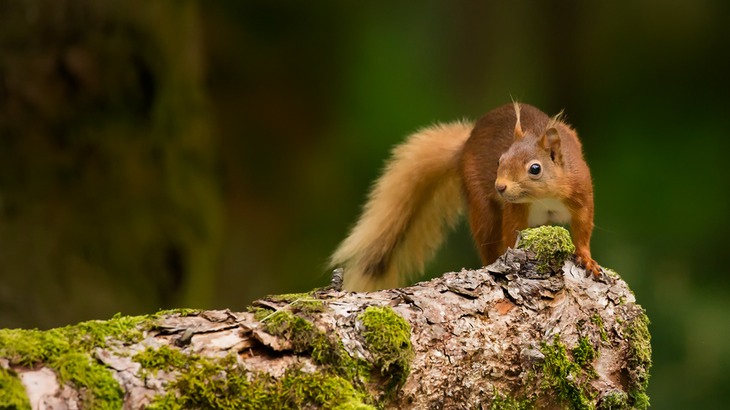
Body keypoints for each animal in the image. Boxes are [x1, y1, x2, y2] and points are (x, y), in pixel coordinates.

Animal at [330, 102, 596, 292]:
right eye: (499, 160)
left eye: (535, 168)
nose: (500, 187)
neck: (546, 198)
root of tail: (464, 146)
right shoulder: (516, 210)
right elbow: (511, 233)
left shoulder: (581, 194)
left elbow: (583, 228)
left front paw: (587, 260)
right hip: (480, 201)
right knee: (487, 236)